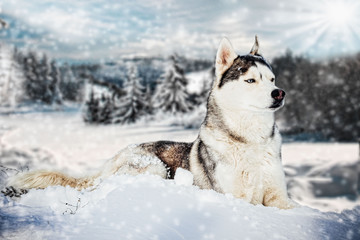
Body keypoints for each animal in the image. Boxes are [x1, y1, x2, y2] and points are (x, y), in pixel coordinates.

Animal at [5, 36, 296, 209]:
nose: (279, 93)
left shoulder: (278, 197)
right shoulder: (235, 197)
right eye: (250, 80)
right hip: (155, 168)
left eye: (272, 79)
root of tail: (109, 162)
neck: (251, 140)